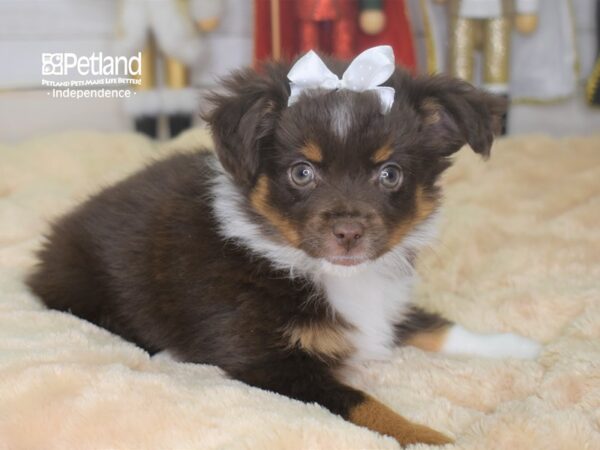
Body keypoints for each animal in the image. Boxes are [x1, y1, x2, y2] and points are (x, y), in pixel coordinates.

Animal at [28, 49, 540, 446]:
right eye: (302, 172)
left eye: (390, 173)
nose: (349, 231)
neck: (328, 274)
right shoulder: (271, 364)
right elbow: (365, 404)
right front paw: (431, 438)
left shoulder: (383, 306)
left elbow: (433, 325)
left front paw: (516, 346)